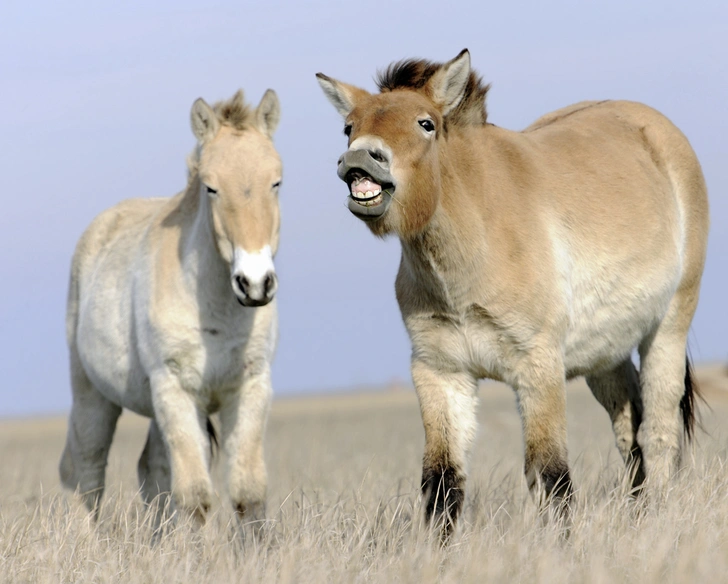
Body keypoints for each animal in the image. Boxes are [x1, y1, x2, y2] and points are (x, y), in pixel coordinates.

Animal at [60, 88, 282, 528]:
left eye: (277, 182)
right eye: (211, 188)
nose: (254, 283)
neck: (216, 309)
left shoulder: (250, 387)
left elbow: (248, 493)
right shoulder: (175, 388)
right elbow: (195, 497)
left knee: (152, 469)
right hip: (92, 395)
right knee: (87, 472)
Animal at [316, 49, 708, 540]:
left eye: (426, 123)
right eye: (348, 126)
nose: (360, 160)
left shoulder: (538, 368)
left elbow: (549, 473)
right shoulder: (440, 373)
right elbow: (442, 478)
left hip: (668, 328)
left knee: (658, 433)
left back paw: (659, 517)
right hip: (606, 355)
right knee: (629, 429)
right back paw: (637, 512)